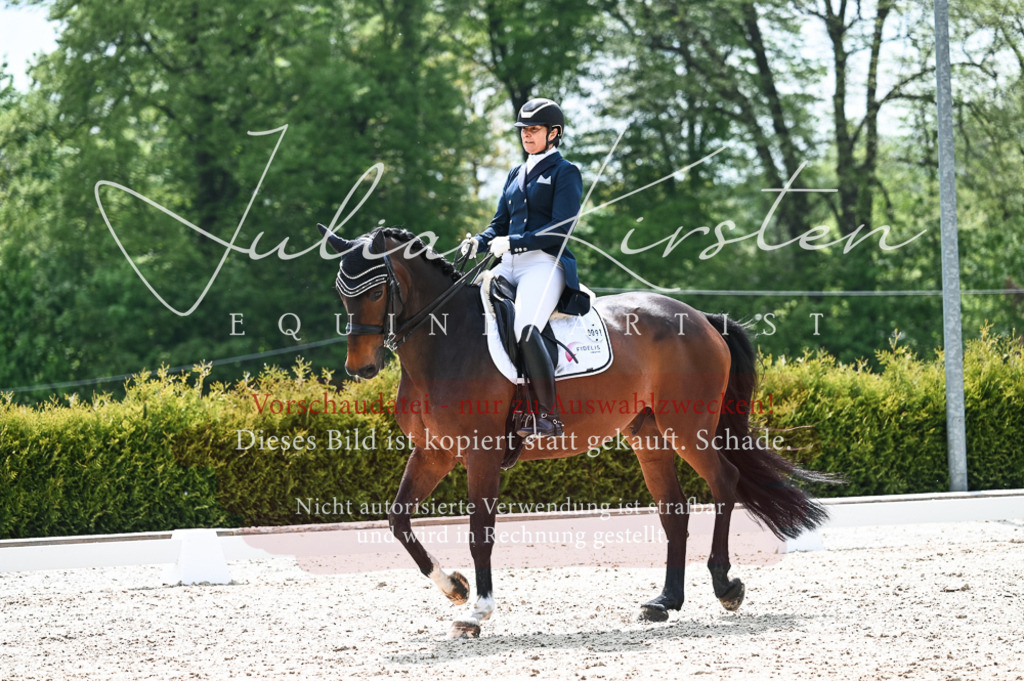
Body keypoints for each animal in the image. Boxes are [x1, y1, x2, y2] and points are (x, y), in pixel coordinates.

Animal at [318, 224, 831, 638]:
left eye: (375, 291)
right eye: (342, 293)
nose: (360, 369)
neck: (447, 342)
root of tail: (701, 317)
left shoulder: (481, 454)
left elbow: (480, 531)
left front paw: (477, 612)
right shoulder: (433, 453)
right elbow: (398, 521)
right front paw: (456, 589)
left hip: (688, 428)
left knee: (724, 481)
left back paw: (725, 585)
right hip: (649, 436)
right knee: (674, 509)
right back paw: (664, 602)